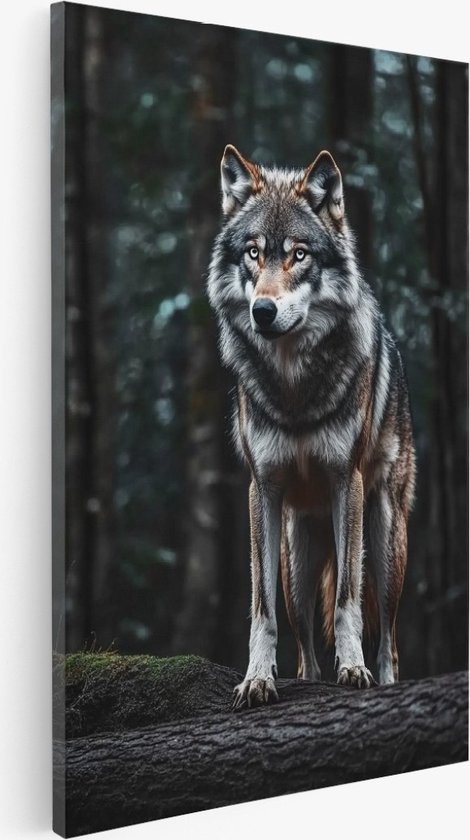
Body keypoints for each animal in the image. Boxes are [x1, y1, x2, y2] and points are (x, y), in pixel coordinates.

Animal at [207, 145, 415, 709]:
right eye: (253, 253)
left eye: (299, 255)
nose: (263, 310)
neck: (293, 386)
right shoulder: (262, 490)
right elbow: (262, 611)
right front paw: (257, 679)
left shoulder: (348, 482)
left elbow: (346, 602)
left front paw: (354, 670)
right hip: (295, 559)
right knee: (303, 641)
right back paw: (309, 679)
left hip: (384, 539)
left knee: (388, 635)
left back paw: (384, 678)